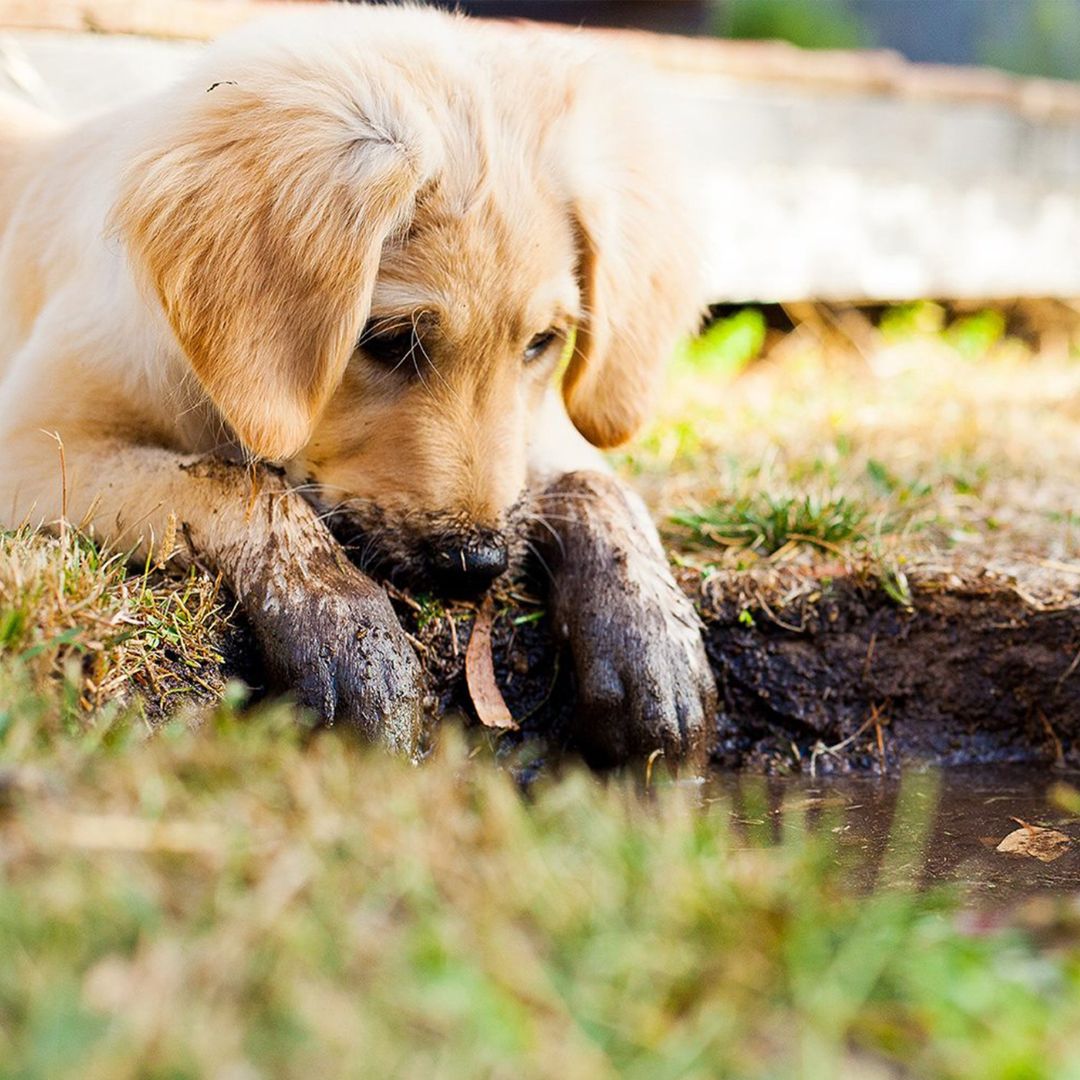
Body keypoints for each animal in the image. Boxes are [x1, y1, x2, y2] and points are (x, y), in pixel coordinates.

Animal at [0, 4, 717, 764]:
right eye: (391, 342)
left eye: (540, 344)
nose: (478, 565)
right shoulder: (32, 445)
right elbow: (236, 484)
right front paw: (350, 638)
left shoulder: (532, 433)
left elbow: (595, 483)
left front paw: (650, 639)